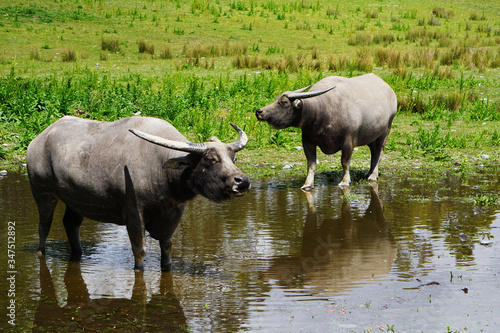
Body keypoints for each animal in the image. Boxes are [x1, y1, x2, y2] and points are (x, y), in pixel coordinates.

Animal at [27, 116, 250, 270]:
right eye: (211, 160)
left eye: (233, 159)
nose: (243, 181)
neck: (161, 170)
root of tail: (38, 140)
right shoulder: (134, 214)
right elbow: (139, 251)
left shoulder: (172, 218)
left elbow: (167, 250)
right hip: (42, 193)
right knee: (43, 226)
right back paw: (40, 252)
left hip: (75, 200)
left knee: (71, 224)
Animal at [256, 73, 396, 188]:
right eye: (276, 99)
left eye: (284, 102)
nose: (259, 111)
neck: (322, 112)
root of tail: (390, 91)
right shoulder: (307, 141)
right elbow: (311, 164)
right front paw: (307, 184)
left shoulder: (348, 142)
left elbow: (345, 162)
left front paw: (345, 181)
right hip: (372, 135)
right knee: (373, 152)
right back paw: (369, 172)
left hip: (385, 132)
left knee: (378, 152)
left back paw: (373, 175)